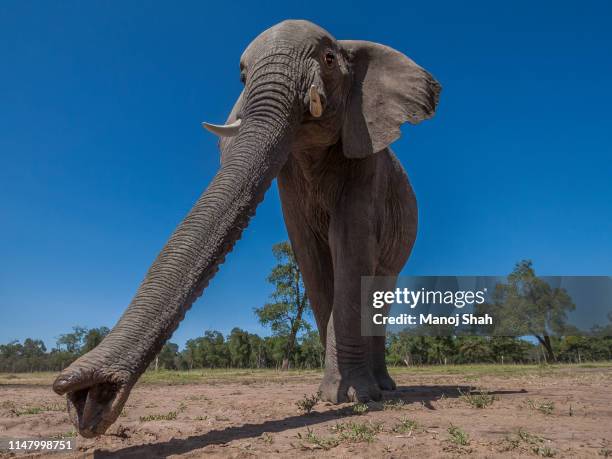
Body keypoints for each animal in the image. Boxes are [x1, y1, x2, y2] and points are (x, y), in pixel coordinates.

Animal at [53, 19, 440, 438]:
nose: (85, 398)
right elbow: (311, 258)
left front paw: (355, 397)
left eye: (328, 58)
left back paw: (384, 388)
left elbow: (350, 250)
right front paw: (330, 397)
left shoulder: (367, 161)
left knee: (380, 288)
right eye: (241, 76)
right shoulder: (290, 182)